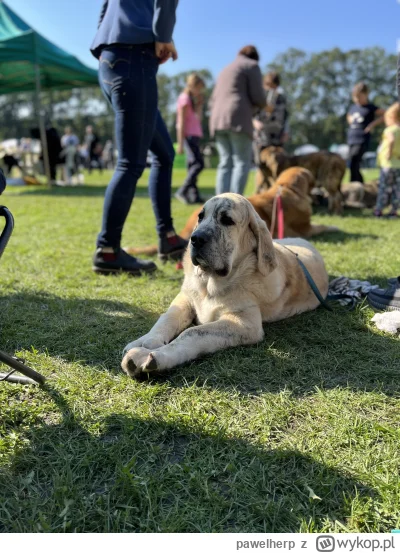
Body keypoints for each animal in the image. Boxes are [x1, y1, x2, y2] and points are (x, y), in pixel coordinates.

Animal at [122, 192, 328, 378]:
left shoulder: (244, 321)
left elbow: (193, 332)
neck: (209, 284)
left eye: (227, 220)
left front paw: (151, 356)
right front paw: (144, 341)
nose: (195, 239)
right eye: (201, 216)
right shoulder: (185, 298)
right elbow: (167, 318)